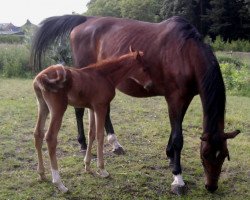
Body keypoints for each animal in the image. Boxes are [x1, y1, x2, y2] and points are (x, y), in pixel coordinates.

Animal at [32, 48, 150, 192]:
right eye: (145, 68)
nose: (149, 84)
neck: (104, 76)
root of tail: (41, 77)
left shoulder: (92, 108)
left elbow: (91, 134)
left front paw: (87, 166)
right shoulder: (101, 107)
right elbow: (100, 135)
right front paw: (102, 169)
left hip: (42, 106)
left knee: (38, 134)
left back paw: (41, 174)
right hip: (58, 109)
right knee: (50, 138)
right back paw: (59, 183)